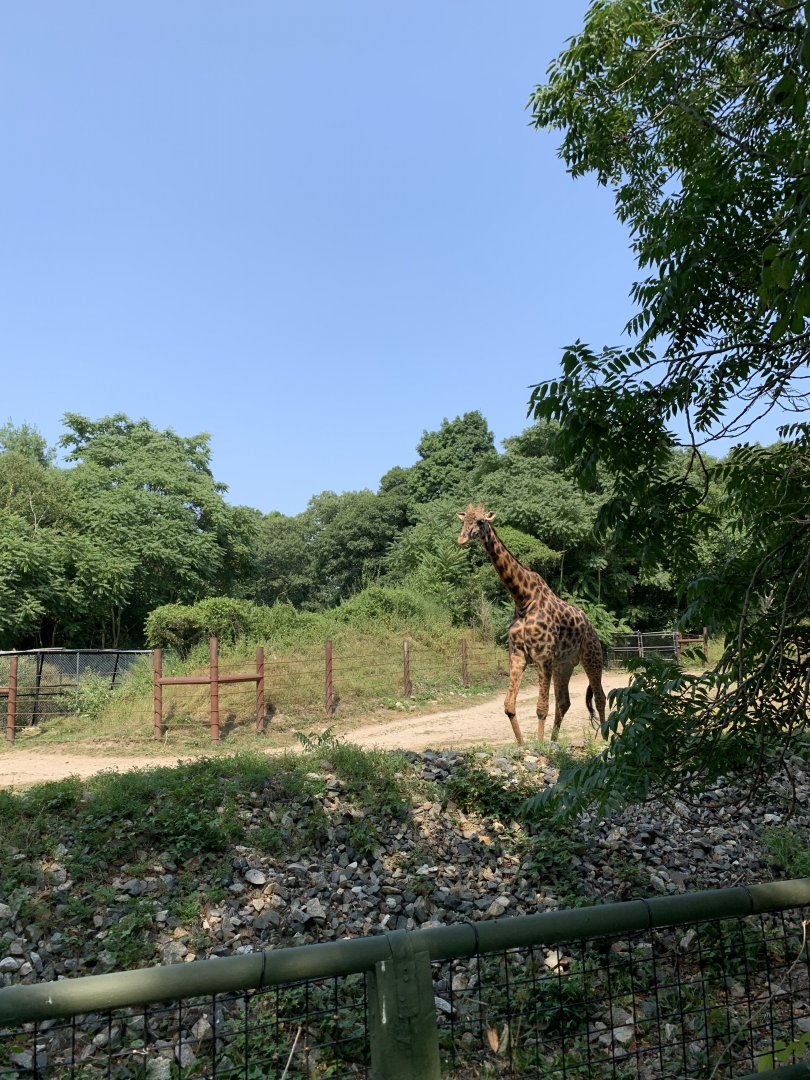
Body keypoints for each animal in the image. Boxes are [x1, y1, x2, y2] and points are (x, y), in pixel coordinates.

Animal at [456, 504, 607, 746]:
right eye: (463, 520)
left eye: (480, 521)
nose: (461, 539)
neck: (524, 600)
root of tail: (592, 627)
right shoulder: (518, 655)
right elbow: (509, 705)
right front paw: (523, 744)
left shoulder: (543, 657)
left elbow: (541, 707)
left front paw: (539, 744)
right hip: (563, 664)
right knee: (564, 702)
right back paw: (554, 741)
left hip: (592, 656)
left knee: (600, 696)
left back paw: (604, 738)